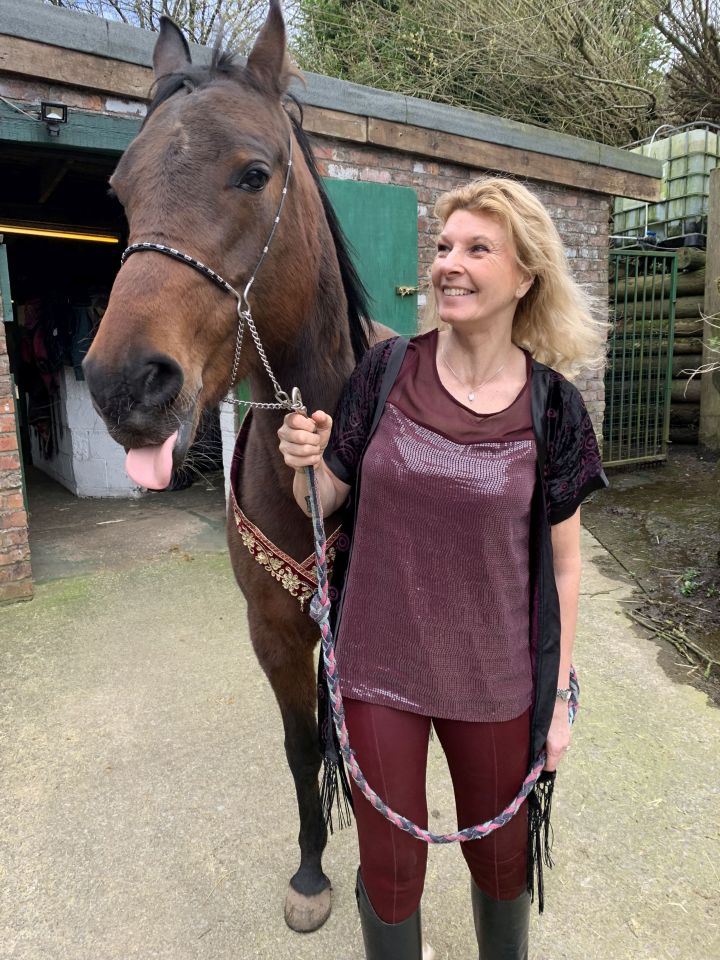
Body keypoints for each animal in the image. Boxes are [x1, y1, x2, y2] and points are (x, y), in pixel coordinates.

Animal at [83, 0, 388, 928]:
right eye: (121, 191)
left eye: (254, 174)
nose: (123, 386)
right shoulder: (274, 632)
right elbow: (302, 745)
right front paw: (314, 869)